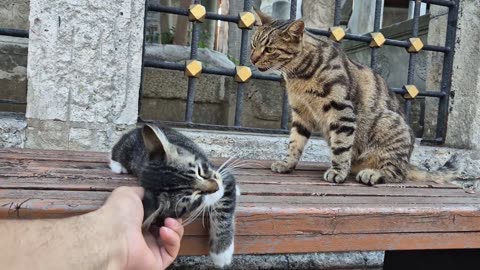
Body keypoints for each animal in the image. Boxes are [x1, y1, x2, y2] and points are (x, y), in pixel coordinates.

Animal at [109, 124, 236, 268]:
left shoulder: (221, 174)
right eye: (194, 200)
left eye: (200, 171)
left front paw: (222, 251)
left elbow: (225, 205)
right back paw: (117, 166)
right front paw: (222, 252)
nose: (217, 188)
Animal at [249, 9, 460, 185]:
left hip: (390, 126)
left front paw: (337, 171)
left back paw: (373, 174)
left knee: (398, 173)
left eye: (269, 49)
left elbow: (341, 146)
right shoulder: (301, 114)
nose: (252, 59)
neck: (298, 76)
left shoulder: (341, 110)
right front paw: (287, 164)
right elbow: (294, 143)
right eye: (253, 45)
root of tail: (408, 162)